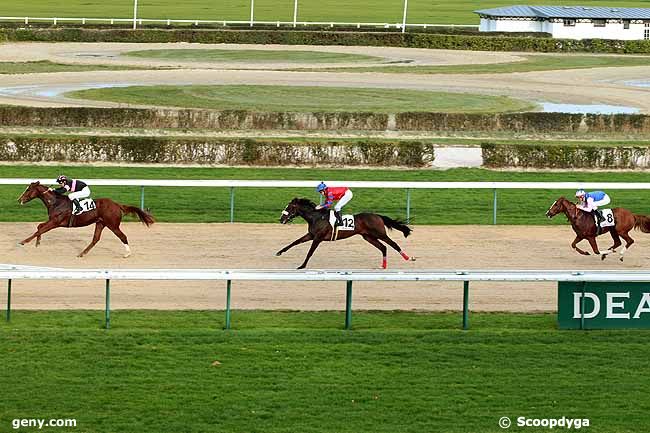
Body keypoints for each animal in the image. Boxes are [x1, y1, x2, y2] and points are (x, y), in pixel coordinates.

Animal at [17, 181, 154, 258]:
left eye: (28, 189)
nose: (19, 200)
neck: (56, 202)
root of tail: (117, 204)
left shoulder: (56, 222)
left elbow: (40, 230)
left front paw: (23, 242)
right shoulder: (52, 221)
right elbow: (39, 227)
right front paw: (37, 243)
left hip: (113, 225)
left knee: (123, 236)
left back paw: (127, 254)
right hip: (100, 223)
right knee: (95, 239)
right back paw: (82, 253)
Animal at [276, 197, 412, 268]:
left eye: (290, 207)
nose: (281, 219)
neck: (317, 217)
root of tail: (378, 216)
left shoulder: (318, 237)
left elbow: (310, 252)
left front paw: (302, 266)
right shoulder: (311, 235)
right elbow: (295, 242)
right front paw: (279, 252)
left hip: (380, 233)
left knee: (393, 244)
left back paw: (409, 257)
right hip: (368, 237)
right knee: (383, 247)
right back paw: (383, 265)